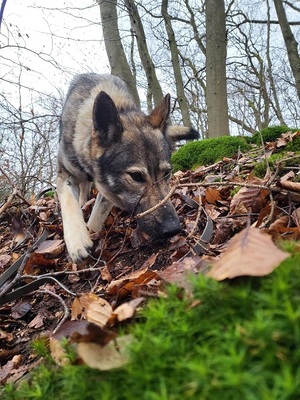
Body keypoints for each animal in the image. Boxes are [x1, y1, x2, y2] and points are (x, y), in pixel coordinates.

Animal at [56, 72, 199, 262]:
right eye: (136, 176)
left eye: (167, 173)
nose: (174, 228)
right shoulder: (64, 174)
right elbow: (68, 201)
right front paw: (78, 241)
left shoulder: (107, 192)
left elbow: (95, 221)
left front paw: (92, 233)